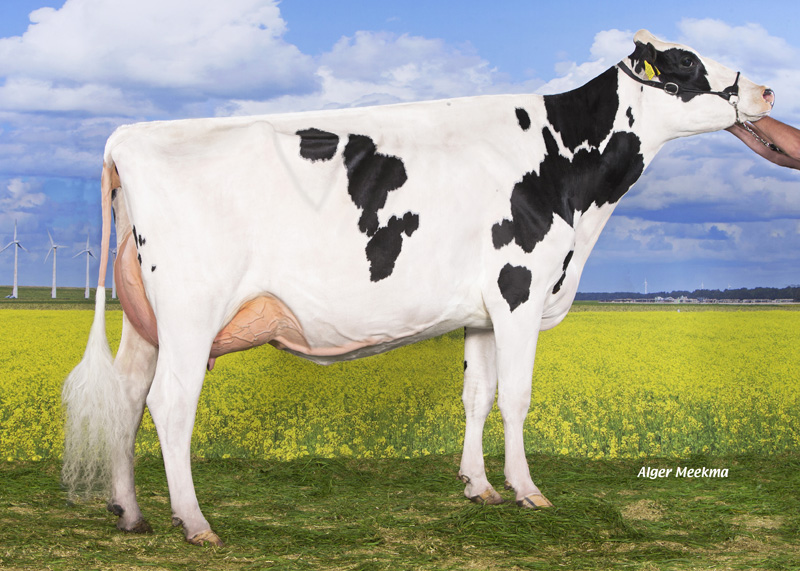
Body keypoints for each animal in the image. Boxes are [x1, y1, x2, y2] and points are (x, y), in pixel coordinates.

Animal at [61, 30, 775, 546]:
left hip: (147, 319)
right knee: (169, 404)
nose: (768, 90)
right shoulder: (520, 289)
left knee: (127, 397)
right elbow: (517, 397)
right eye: (686, 62)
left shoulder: (483, 311)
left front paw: (478, 486)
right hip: (191, 310)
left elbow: (477, 397)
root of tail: (130, 135)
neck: (568, 174)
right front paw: (528, 490)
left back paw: (130, 511)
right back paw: (195, 522)